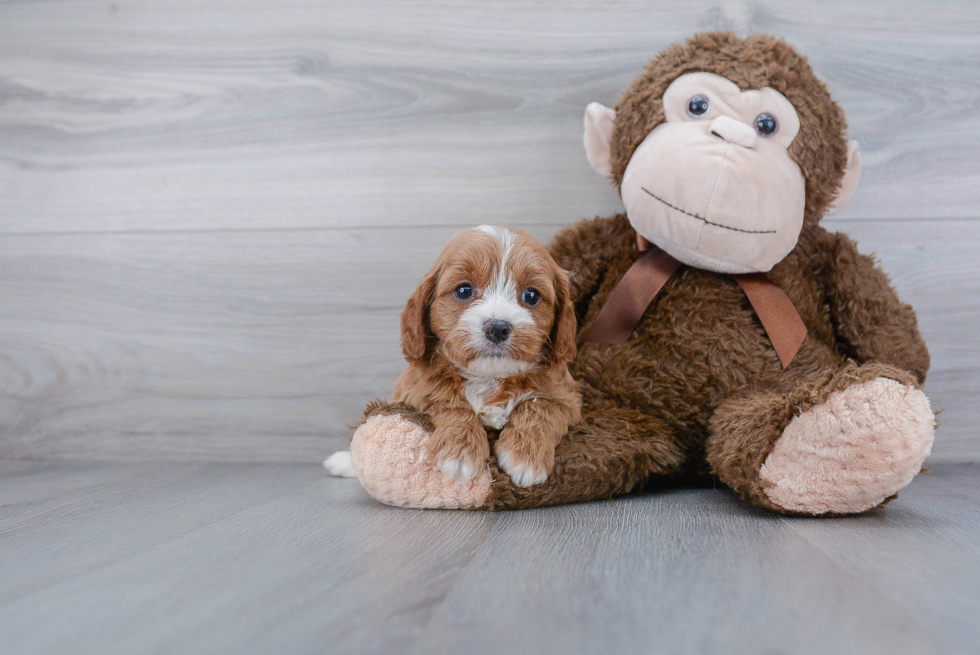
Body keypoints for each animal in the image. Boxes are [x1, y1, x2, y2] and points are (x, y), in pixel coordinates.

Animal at [394, 226, 580, 486]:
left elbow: (540, 405)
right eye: (464, 290)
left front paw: (526, 456)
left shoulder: (567, 397)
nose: (498, 328)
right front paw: (459, 452)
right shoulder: (411, 388)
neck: (489, 376)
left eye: (531, 295)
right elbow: (448, 399)